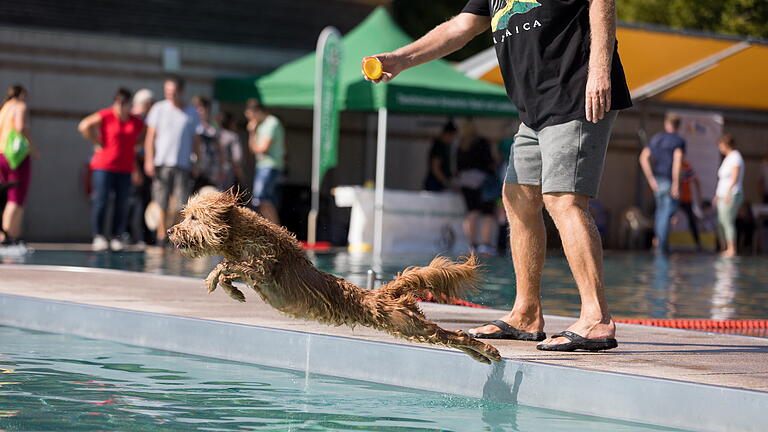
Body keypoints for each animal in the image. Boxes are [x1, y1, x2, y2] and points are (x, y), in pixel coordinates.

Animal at [166, 191, 504, 362]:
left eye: (193, 217)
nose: (170, 231)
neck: (241, 234)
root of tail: (381, 293)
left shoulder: (263, 268)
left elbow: (226, 266)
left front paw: (217, 282)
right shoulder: (252, 270)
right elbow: (229, 268)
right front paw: (232, 290)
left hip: (407, 324)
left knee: (454, 335)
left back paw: (488, 350)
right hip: (408, 326)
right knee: (451, 338)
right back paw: (481, 357)